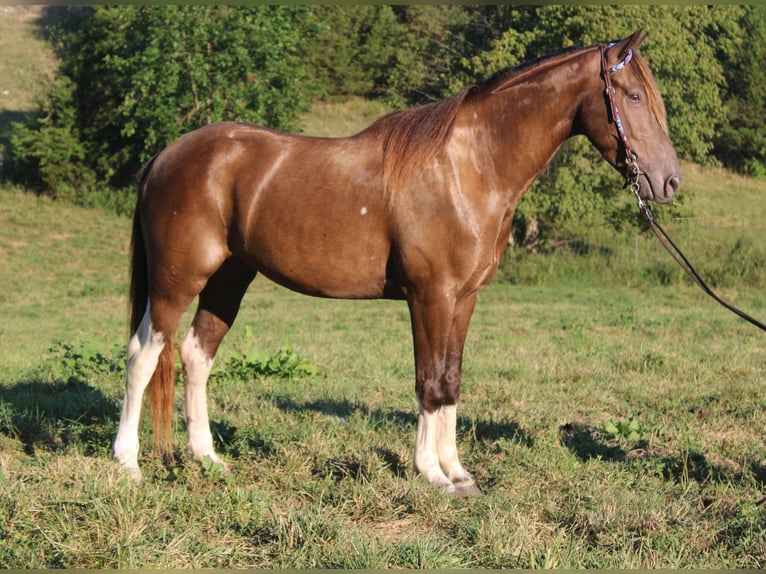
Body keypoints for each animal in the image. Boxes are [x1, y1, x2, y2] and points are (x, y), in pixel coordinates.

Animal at [112, 29, 681, 495]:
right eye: (632, 96)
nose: (669, 181)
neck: (470, 168)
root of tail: (165, 157)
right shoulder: (430, 296)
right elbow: (429, 381)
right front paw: (431, 473)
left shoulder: (463, 300)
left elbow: (451, 379)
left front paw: (459, 473)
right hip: (176, 280)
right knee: (144, 354)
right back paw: (129, 464)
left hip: (229, 277)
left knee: (195, 354)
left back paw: (208, 459)